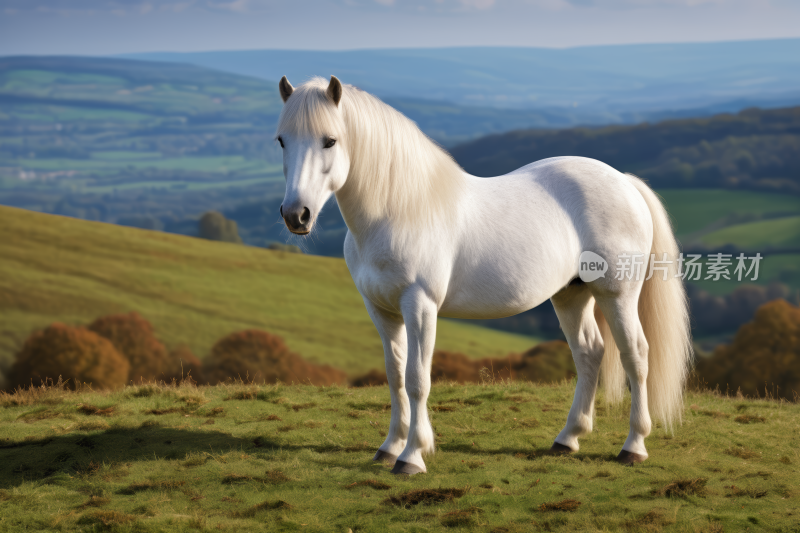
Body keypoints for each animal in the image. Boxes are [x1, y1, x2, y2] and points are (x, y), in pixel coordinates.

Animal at [276, 75, 692, 474]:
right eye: (282, 140)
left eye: (330, 140)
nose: (296, 215)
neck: (399, 209)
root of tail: (624, 181)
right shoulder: (381, 309)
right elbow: (395, 376)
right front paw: (389, 448)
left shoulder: (420, 305)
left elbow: (417, 379)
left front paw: (412, 457)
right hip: (571, 294)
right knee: (590, 353)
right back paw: (567, 439)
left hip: (617, 294)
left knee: (635, 355)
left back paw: (633, 447)